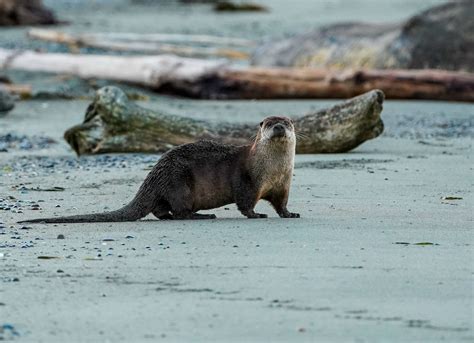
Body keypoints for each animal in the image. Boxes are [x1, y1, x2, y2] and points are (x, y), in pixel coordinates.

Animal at [20, 115, 300, 224]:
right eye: (269, 124)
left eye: (287, 122)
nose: (278, 127)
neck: (271, 170)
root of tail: (153, 175)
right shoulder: (247, 180)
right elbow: (245, 202)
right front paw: (257, 214)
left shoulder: (283, 184)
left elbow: (281, 203)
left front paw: (290, 214)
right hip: (180, 183)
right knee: (180, 211)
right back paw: (203, 216)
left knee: (160, 210)